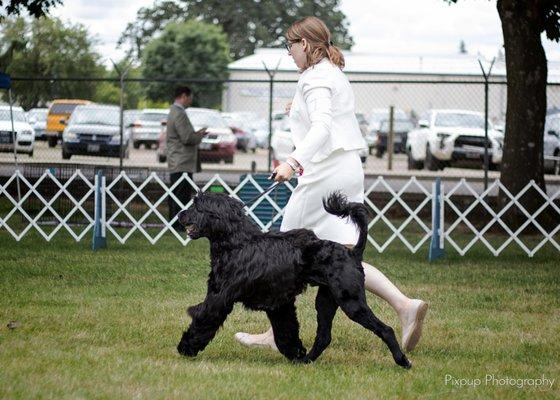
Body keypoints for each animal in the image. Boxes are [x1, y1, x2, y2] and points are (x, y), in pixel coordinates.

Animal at [176, 191, 412, 368]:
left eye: (197, 205)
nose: (180, 214)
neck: (236, 243)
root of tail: (352, 252)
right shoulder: (279, 304)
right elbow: (286, 330)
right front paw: (296, 352)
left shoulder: (219, 297)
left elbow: (203, 319)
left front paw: (186, 347)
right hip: (326, 302)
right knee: (324, 337)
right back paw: (305, 360)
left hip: (352, 302)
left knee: (386, 330)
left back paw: (403, 360)